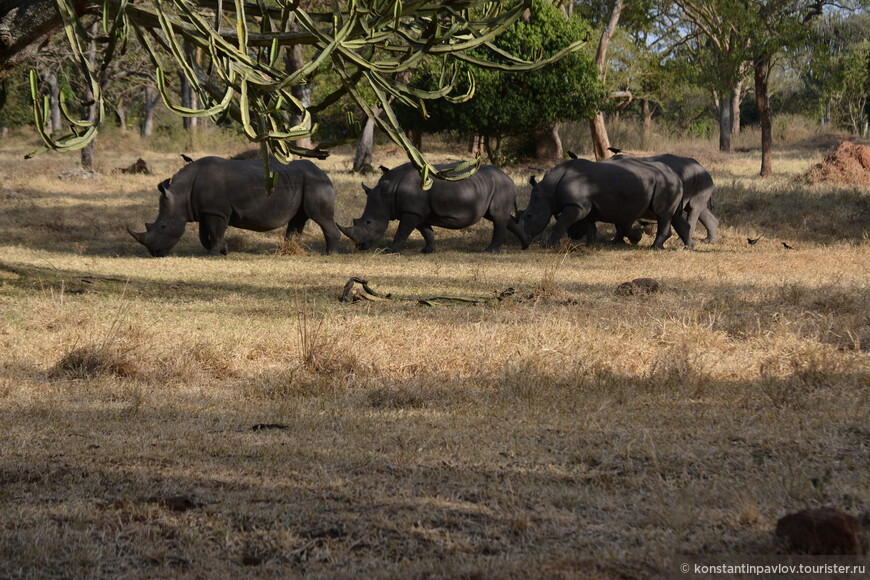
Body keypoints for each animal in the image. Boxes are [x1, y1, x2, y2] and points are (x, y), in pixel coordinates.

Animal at [129, 159, 340, 258]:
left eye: (163, 227)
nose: (155, 253)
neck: (181, 193)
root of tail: (323, 172)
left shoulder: (216, 211)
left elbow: (214, 231)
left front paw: (214, 254)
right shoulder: (208, 210)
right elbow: (205, 233)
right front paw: (222, 250)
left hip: (315, 182)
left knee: (320, 218)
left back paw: (329, 253)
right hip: (303, 181)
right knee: (298, 218)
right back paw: (288, 251)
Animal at [340, 163, 532, 254]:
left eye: (369, 222)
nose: (360, 246)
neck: (387, 192)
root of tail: (509, 178)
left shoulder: (411, 211)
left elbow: (402, 231)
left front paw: (390, 251)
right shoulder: (417, 211)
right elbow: (426, 231)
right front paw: (427, 250)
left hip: (501, 187)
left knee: (497, 217)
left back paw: (489, 251)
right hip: (494, 187)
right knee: (500, 217)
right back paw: (525, 246)